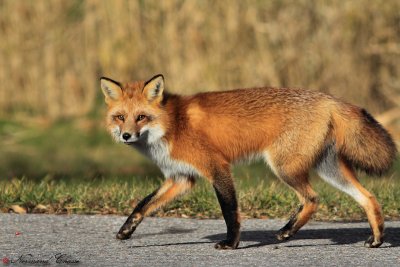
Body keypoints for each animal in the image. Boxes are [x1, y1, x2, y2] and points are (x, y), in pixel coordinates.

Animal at [101, 74, 396, 249]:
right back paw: (377, 238)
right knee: (367, 197)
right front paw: (126, 231)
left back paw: (287, 232)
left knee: (312, 199)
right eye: (120, 117)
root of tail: (329, 99)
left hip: (284, 167)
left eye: (141, 117)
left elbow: (230, 212)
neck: (173, 125)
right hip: (328, 168)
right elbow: (143, 204)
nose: (126, 135)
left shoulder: (217, 167)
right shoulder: (180, 178)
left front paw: (231, 243)